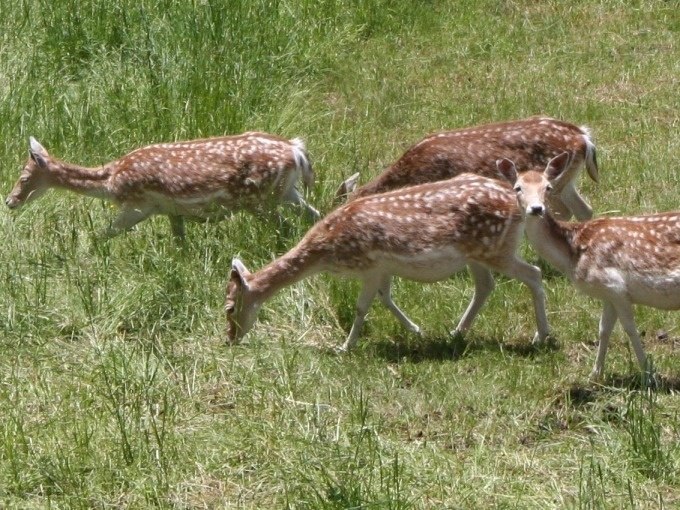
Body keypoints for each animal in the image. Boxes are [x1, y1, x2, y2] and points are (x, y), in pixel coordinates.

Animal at [6, 134, 322, 240]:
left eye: (24, 178)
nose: (10, 201)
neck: (109, 182)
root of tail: (297, 151)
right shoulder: (171, 210)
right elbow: (179, 242)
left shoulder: (137, 205)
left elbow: (102, 236)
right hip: (288, 193)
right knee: (315, 215)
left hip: (260, 199)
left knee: (284, 227)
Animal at [226, 171, 556, 350]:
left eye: (229, 307)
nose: (230, 338)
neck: (327, 250)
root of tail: (520, 206)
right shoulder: (383, 268)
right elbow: (385, 298)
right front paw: (416, 330)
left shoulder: (370, 265)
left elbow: (362, 307)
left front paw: (345, 346)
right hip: (479, 252)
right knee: (486, 285)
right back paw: (457, 332)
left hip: (498, 249)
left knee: (534, 273)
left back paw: (541, 336)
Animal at [500, 153, 680, 380]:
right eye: (518, 187)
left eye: (548, 187)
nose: (537, 208)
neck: (572, 252)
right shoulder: (608, 292)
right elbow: (604, 329)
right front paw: (595, 374)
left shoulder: (615, 285)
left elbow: (630, 328)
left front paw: (648, 374)